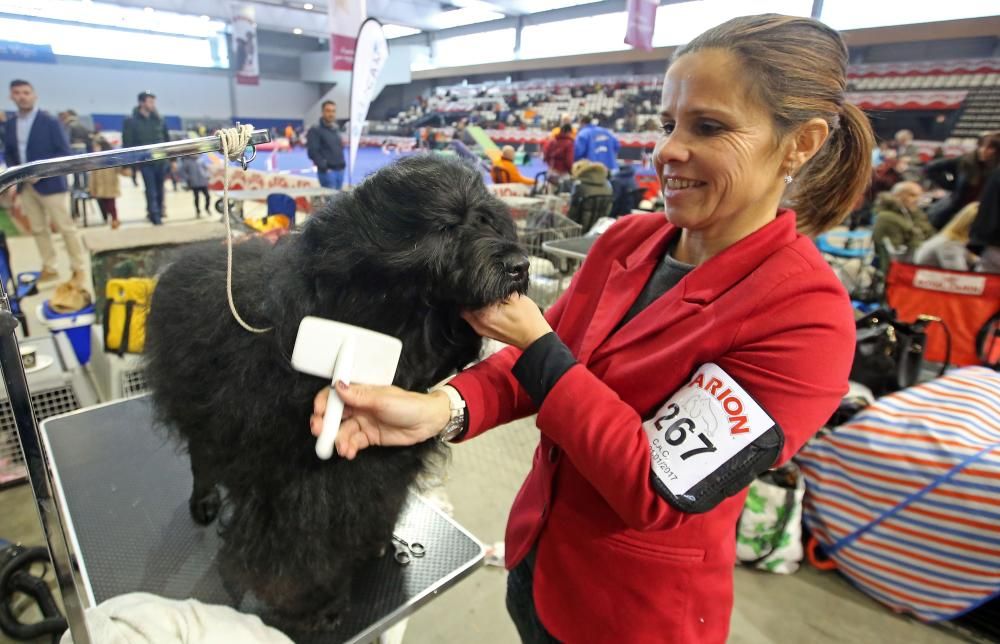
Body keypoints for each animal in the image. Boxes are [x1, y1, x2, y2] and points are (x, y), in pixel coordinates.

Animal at [145, 156, 532, 628]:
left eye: (485, 220)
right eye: (444, 228)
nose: (520, 265)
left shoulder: (385, 468)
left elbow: (376, 509)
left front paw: (376, 545)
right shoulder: (300, 489)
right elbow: (305, 553)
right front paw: (320, 606)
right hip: (195, 408)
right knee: (201, 456)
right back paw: (203, 501)